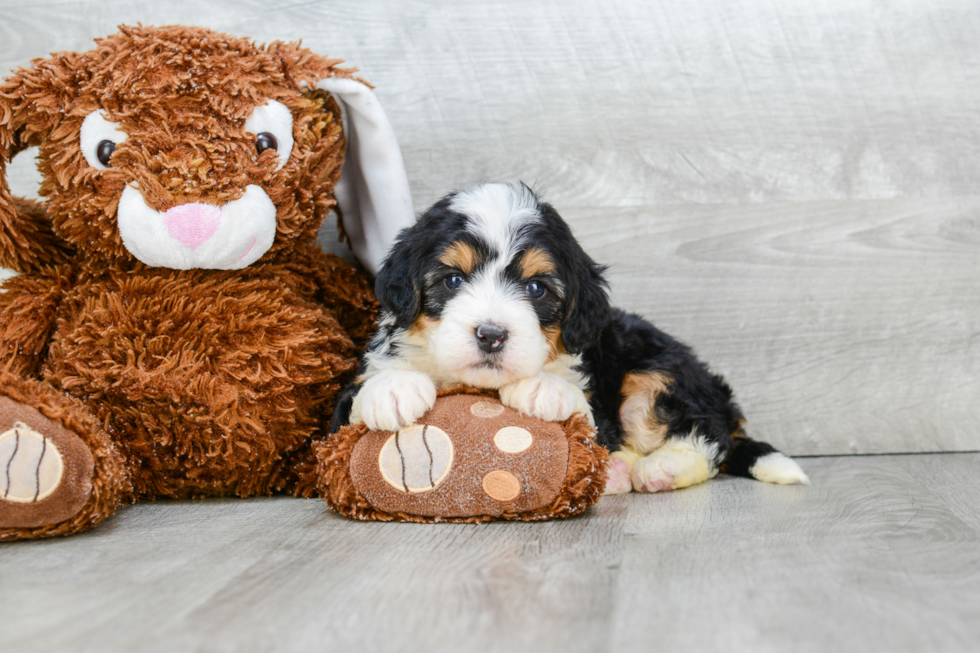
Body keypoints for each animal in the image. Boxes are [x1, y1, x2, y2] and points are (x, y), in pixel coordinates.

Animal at [334, 181, 808, 492]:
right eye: (452, 280)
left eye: (535, 289)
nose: (491, 335)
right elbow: (357, 403)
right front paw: (393, 389)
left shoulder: (599, 391)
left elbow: (589, 416)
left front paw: (545, 387)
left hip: (657, 369)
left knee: (707, 436)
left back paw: (659, 470)